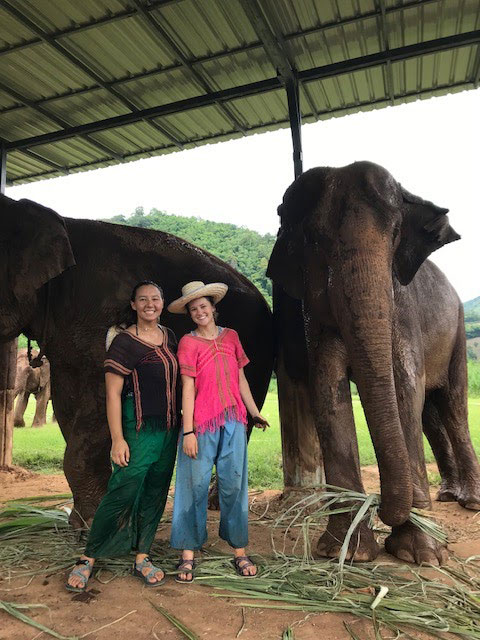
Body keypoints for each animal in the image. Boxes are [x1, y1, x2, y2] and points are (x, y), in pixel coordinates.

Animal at [0, 192, 274, 528]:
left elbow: (100, 397)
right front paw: (81, 522)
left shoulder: (100, 315)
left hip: (258, 347)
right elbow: (69, 401)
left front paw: (95, 522)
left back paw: (218, 503)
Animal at [266, 161, 480, 564]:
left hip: (459, 332)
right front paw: (345, 552)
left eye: (395, 235)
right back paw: (447, 495)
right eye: (315, 241)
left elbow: (405, 386)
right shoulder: (313, 315)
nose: (379, 503)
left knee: (453, 405)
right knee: (431, 413)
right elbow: (326, 387)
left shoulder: (403, 306)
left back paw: (469, 502)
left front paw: (422, 554)